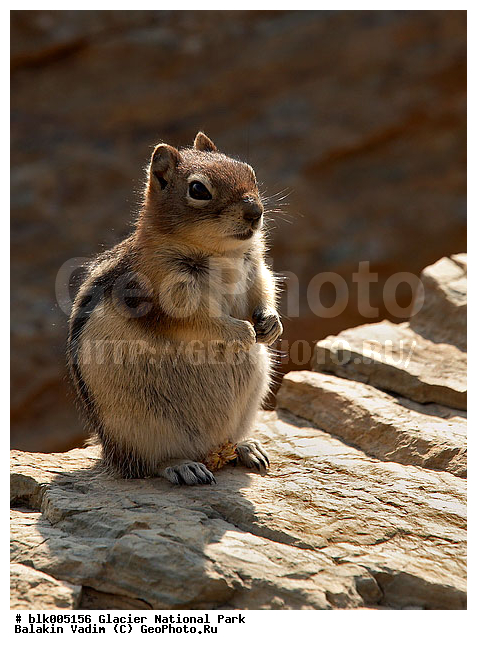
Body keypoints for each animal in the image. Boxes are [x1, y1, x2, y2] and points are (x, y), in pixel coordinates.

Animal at [67, 131, 282, 485]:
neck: (223, 253)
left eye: (248, 170)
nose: (255, 211)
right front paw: (242, 332)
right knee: (147, 464)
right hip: (141, 430)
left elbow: (264, 289)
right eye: (198, 190)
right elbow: (199, 321)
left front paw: (270, 324)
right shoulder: (165, 293)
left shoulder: (255, 268)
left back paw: (247, 448)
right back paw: (184, 466)